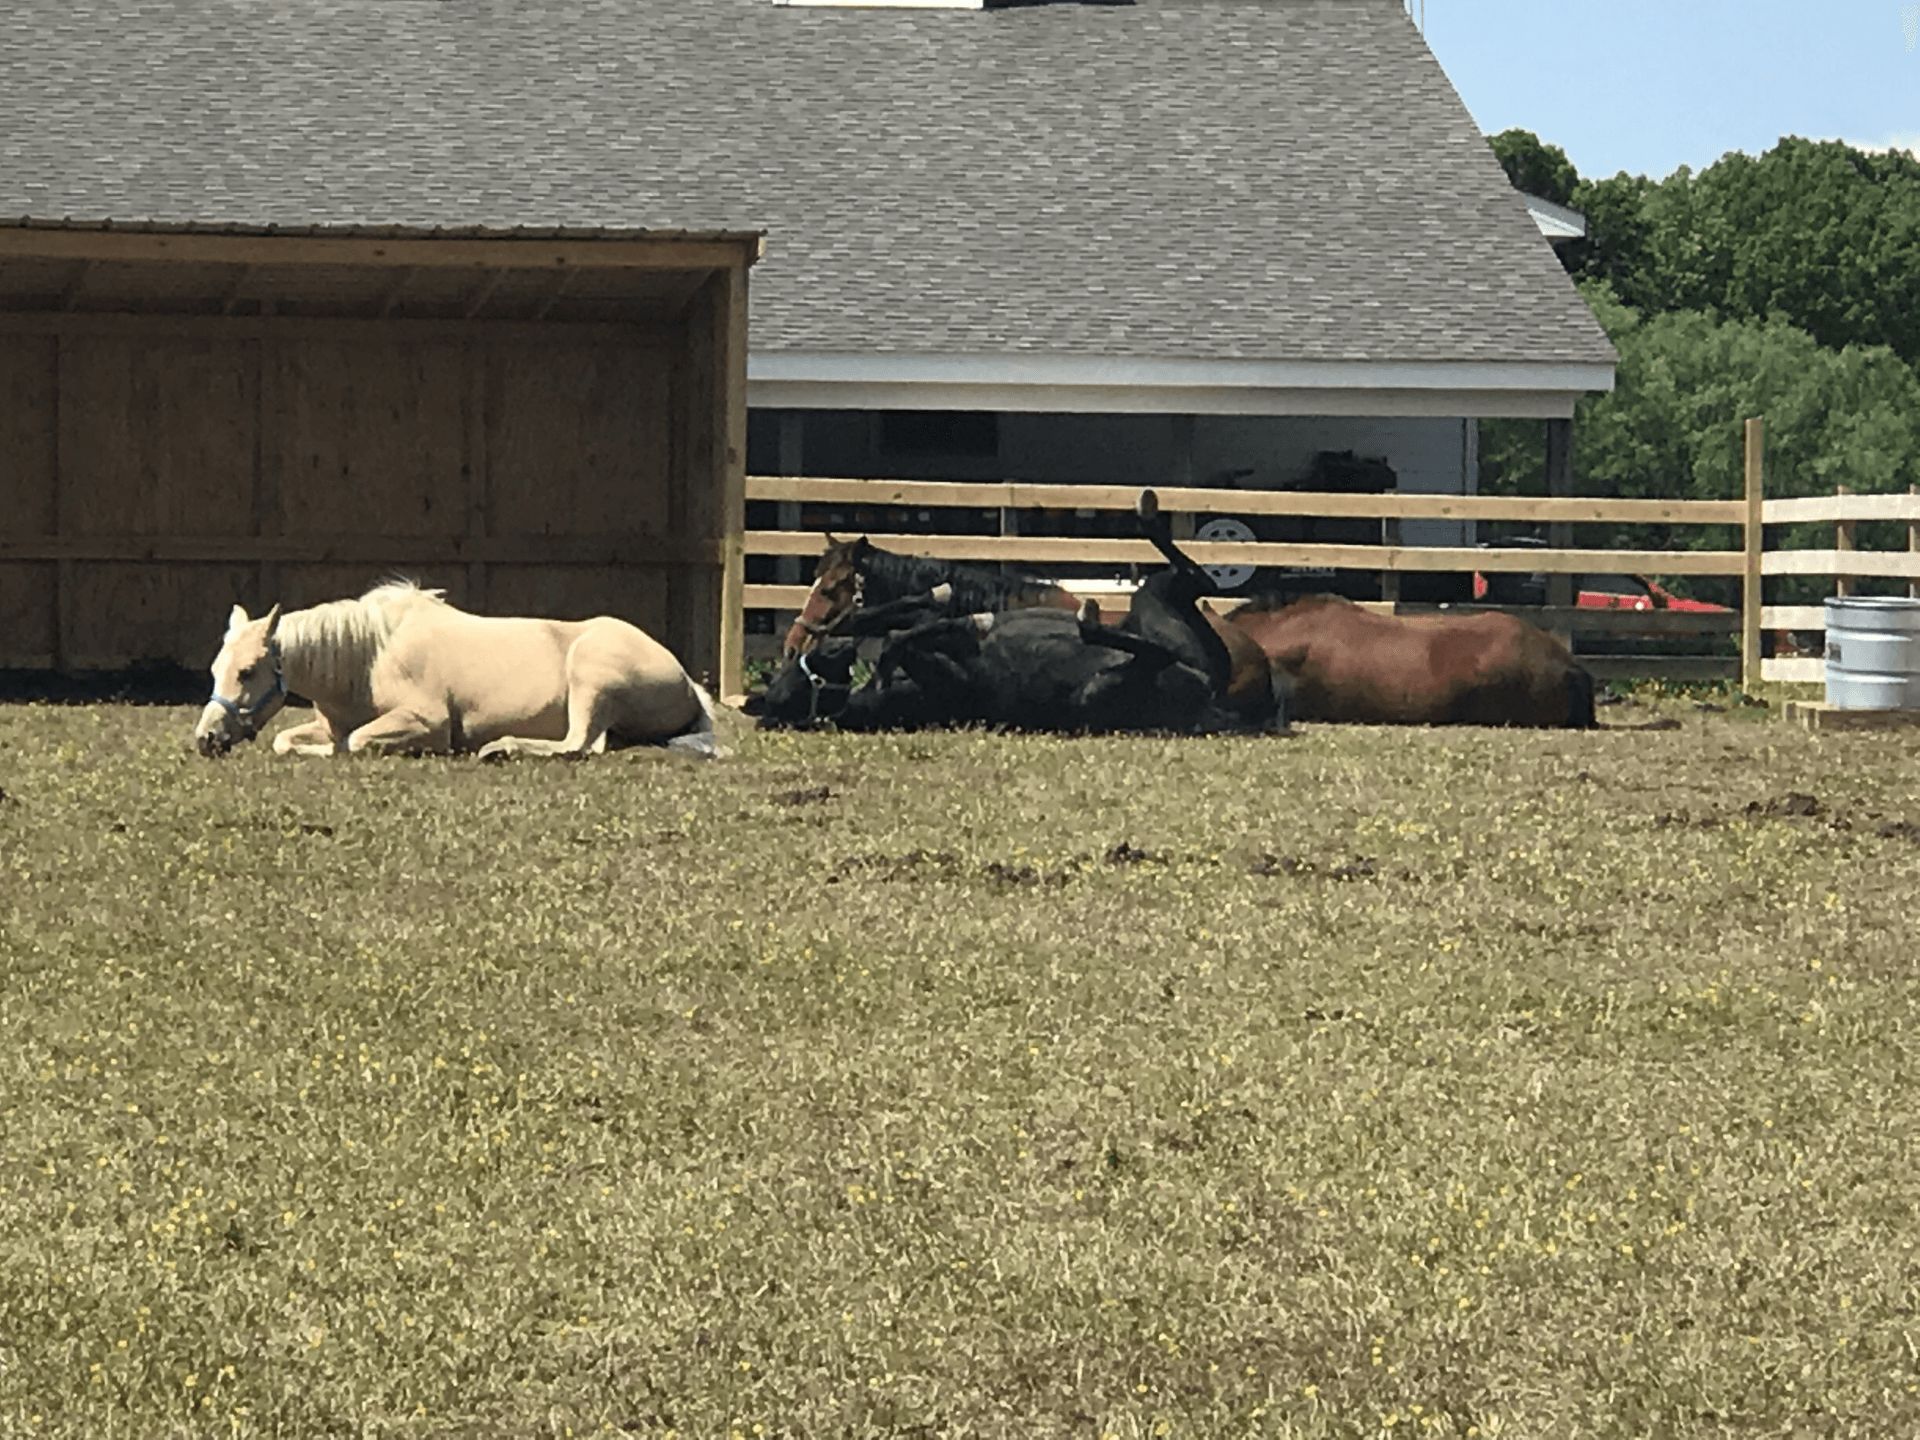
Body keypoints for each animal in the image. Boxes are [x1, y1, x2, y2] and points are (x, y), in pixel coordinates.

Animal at [192, 580, 722, 760]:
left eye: (247, 671)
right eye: (217, 668)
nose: (205, 738)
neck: (368, 658)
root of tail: (686, 682)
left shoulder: (425, 721)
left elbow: (355, 743)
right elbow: (288, 739)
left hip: (590, 678)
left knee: (578, 745)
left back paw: (500, 749)